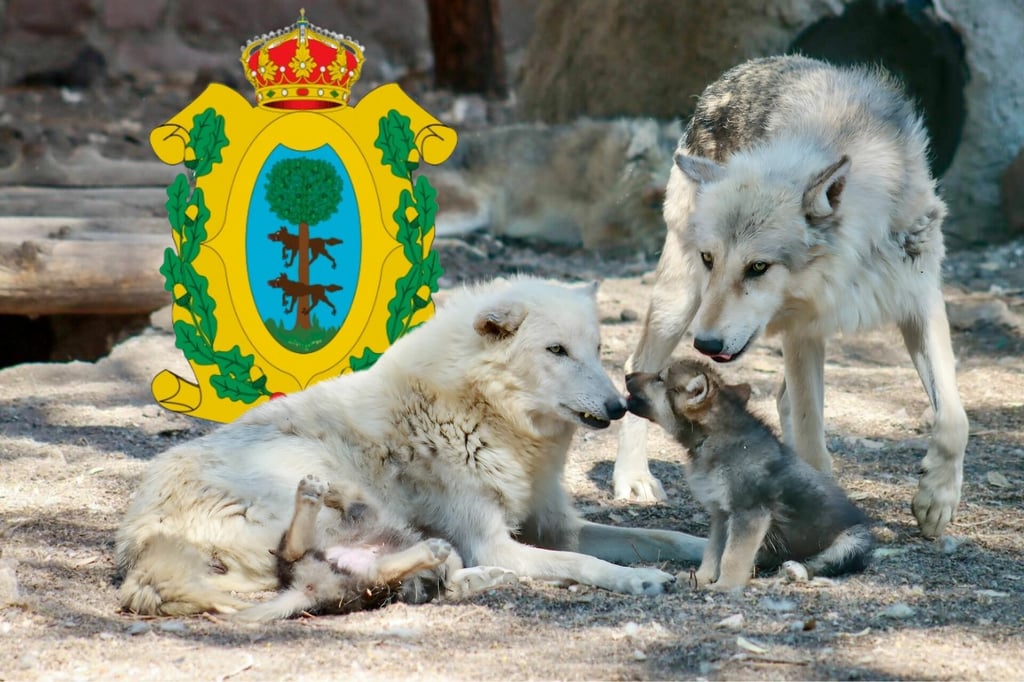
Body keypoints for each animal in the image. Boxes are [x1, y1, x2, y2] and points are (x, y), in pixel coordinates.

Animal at [116, 276, 706, 616]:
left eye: (597, 348)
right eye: (556, 350)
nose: (618, 406)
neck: (483, 413)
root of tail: (141, 536)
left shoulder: (556, 526)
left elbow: (659, 534)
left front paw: (709, 550)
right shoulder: (496, 541)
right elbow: (583, 564)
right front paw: (639, 578)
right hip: (329, 489)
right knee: (330, 563)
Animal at [614, 55, 969, 539]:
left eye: (758, 267)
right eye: (711, 259)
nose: (705, 344)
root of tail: (742, 70)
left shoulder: (920, 301)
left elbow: (954, 417)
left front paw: (937, 498)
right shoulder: (803, 331)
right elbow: (810, 433)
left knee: (782, 400)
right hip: (679, 302)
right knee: (638, 365)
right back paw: (632, 478)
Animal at [626, 359, 873, 590]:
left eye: (659, 378)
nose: (627, 375)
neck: (712, 436)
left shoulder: (749, 513)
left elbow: (732, 557)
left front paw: (726, 586)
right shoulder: (722, 515)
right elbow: (713, 553)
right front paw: (702, 578)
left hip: (853, 542)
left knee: (822, 563)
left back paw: (796, 570)